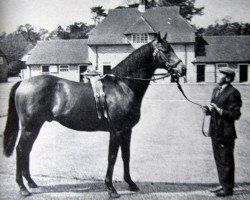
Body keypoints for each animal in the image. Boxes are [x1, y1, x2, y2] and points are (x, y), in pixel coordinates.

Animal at [2, 33, 186, 198]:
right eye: (165, 50)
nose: (182, 69)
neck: (123, 86)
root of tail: (23, 82)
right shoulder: (116, 131)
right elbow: (112, 157)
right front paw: (111, 189)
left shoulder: (127, 130)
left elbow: (126, 156)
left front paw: (131, 184)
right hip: (29, 127)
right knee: (21, 149)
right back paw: (23, 187)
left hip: (35, 127)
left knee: (27, 150)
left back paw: (31, 182)